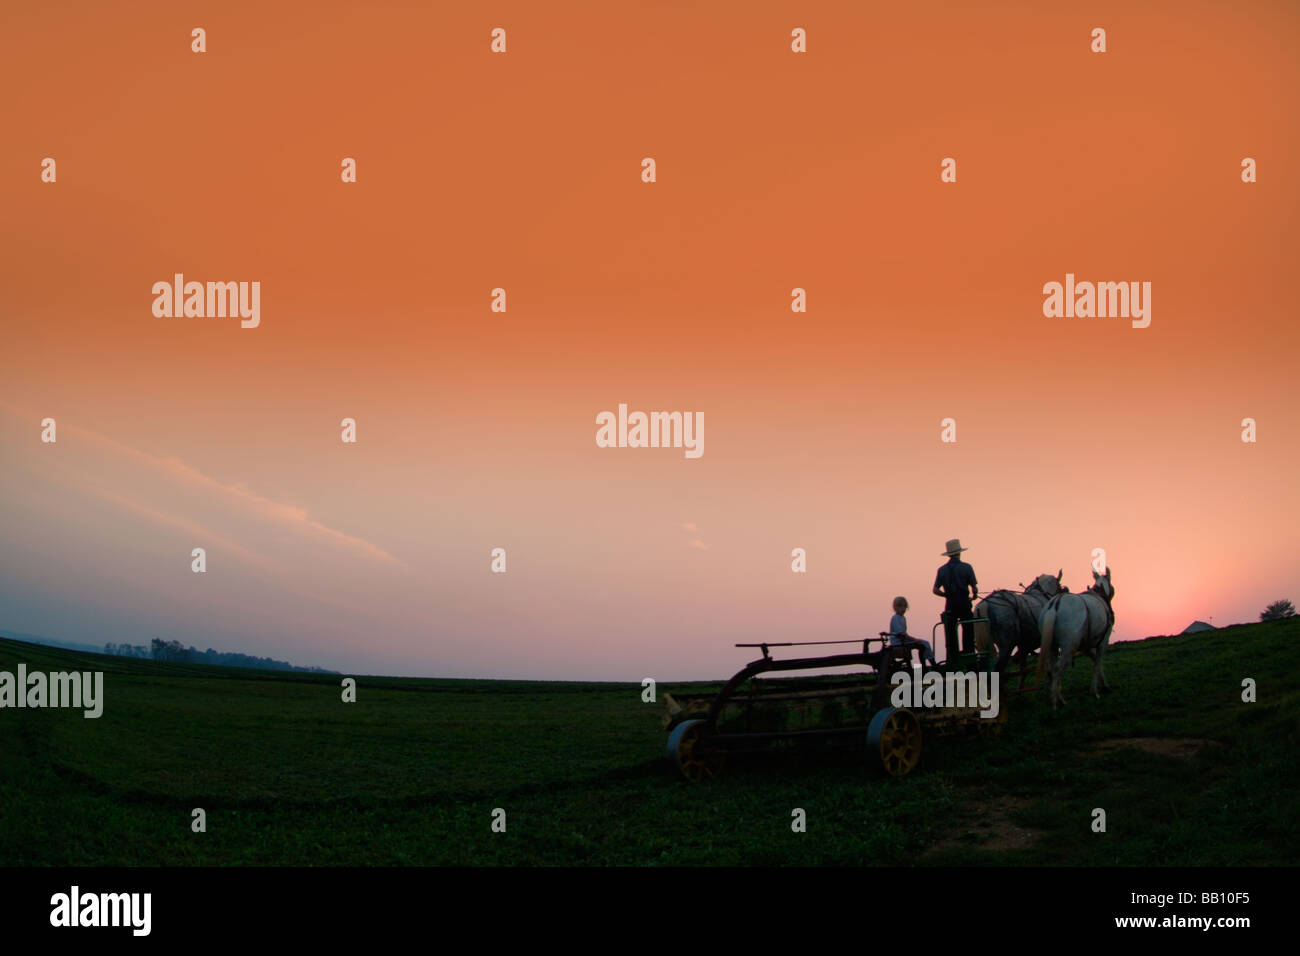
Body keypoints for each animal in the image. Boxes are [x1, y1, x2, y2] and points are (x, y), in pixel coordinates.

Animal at [1034, 567, 1118, 712]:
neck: (1099, 595)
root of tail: (1055, 604)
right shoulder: (1103, 641)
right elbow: (1097, 663)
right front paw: (1095, 691)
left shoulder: (1087, 645)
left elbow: (1095, 660)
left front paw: (1104, 684)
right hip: (1068, 647)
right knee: (1058, 668)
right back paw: (1055, 701)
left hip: (1052, 646)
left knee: (1051, 669)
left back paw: (1059, 698)